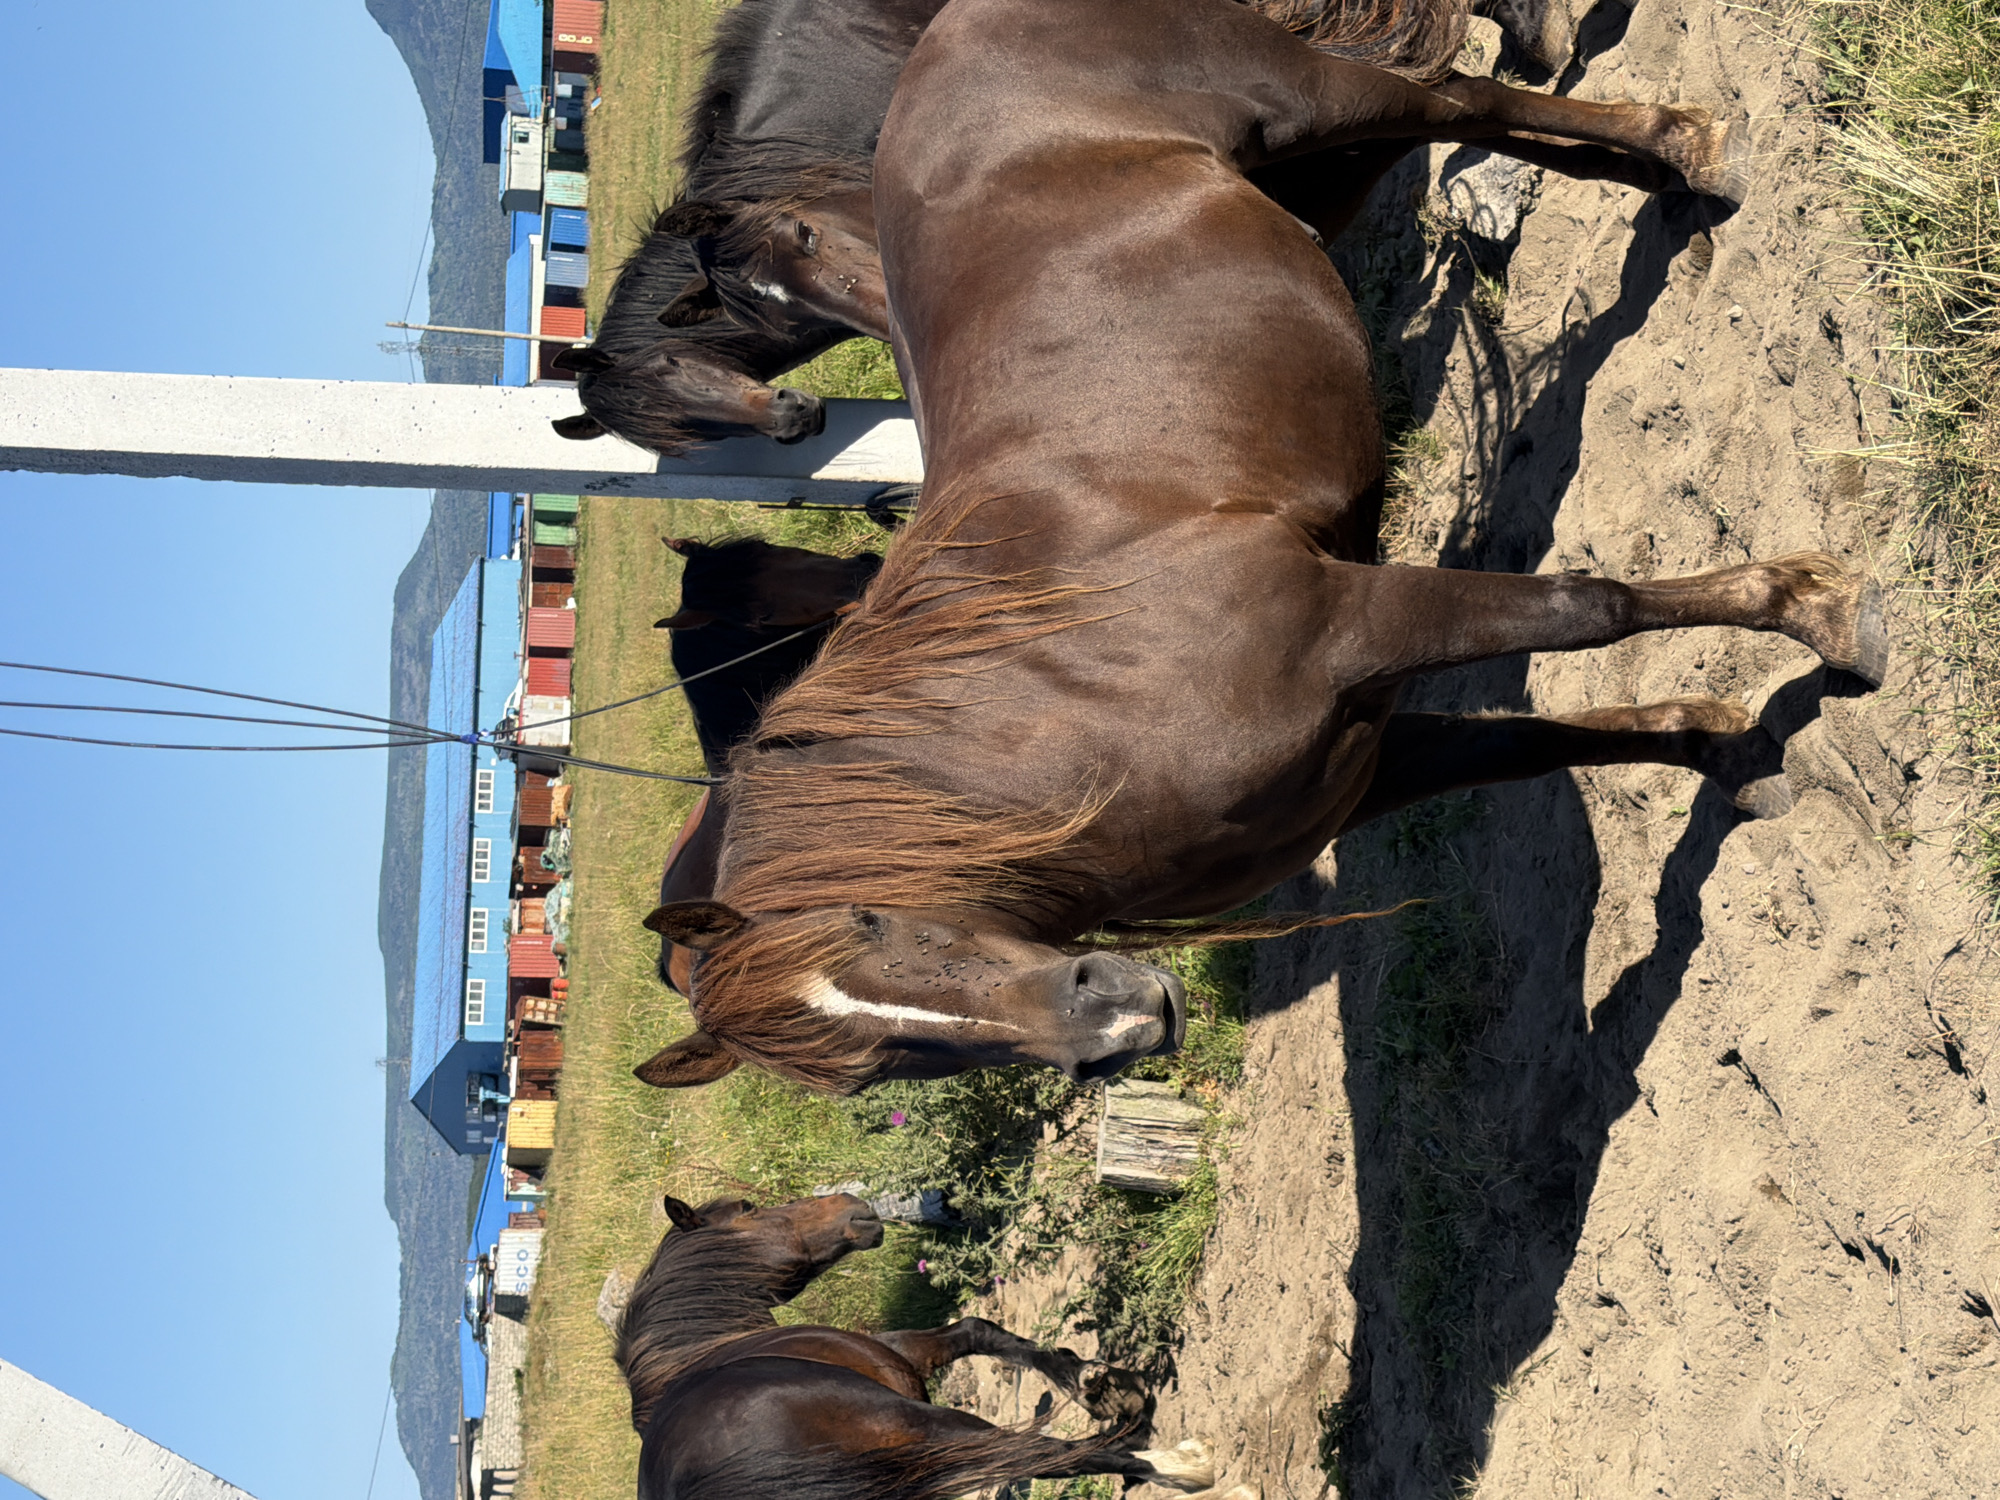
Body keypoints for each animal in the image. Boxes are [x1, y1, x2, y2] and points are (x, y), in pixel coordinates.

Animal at [618, 1189, 1233, 1499]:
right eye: (749, 1211)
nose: (848, 1199)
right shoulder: (899, 1372)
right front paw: (1103, 1388)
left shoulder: (904, 1353)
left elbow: (977, 1329)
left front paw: (1089, 1383)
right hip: (931, 1431)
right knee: (1041, 1454)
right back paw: (1181, 1462)